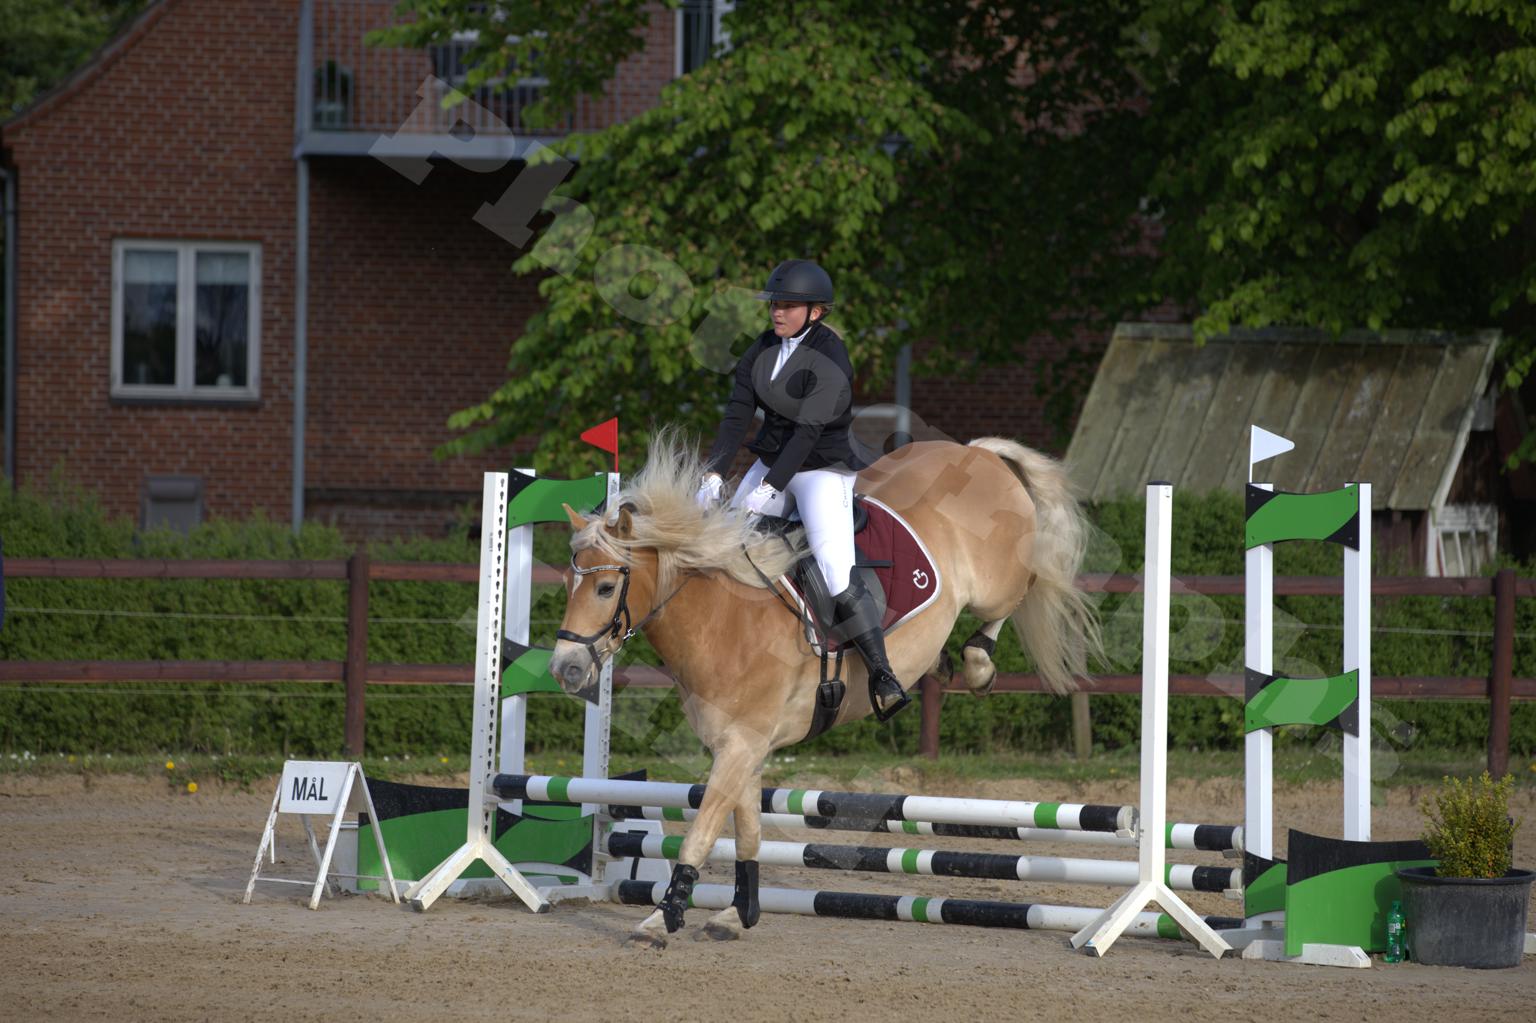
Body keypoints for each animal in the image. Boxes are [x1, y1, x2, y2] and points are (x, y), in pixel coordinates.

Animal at [550, 431, 1100, 946]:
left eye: (605, 588)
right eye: (567, 586)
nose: (565, 669)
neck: (725, 618)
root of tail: (975, 452)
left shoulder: (742, 745)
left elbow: (700, 835)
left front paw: (660, 921)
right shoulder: (743, 748)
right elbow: (747, 833)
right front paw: (738, 913)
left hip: (995, 585)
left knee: (1027, 587)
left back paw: (976, 665)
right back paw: (943, 664)